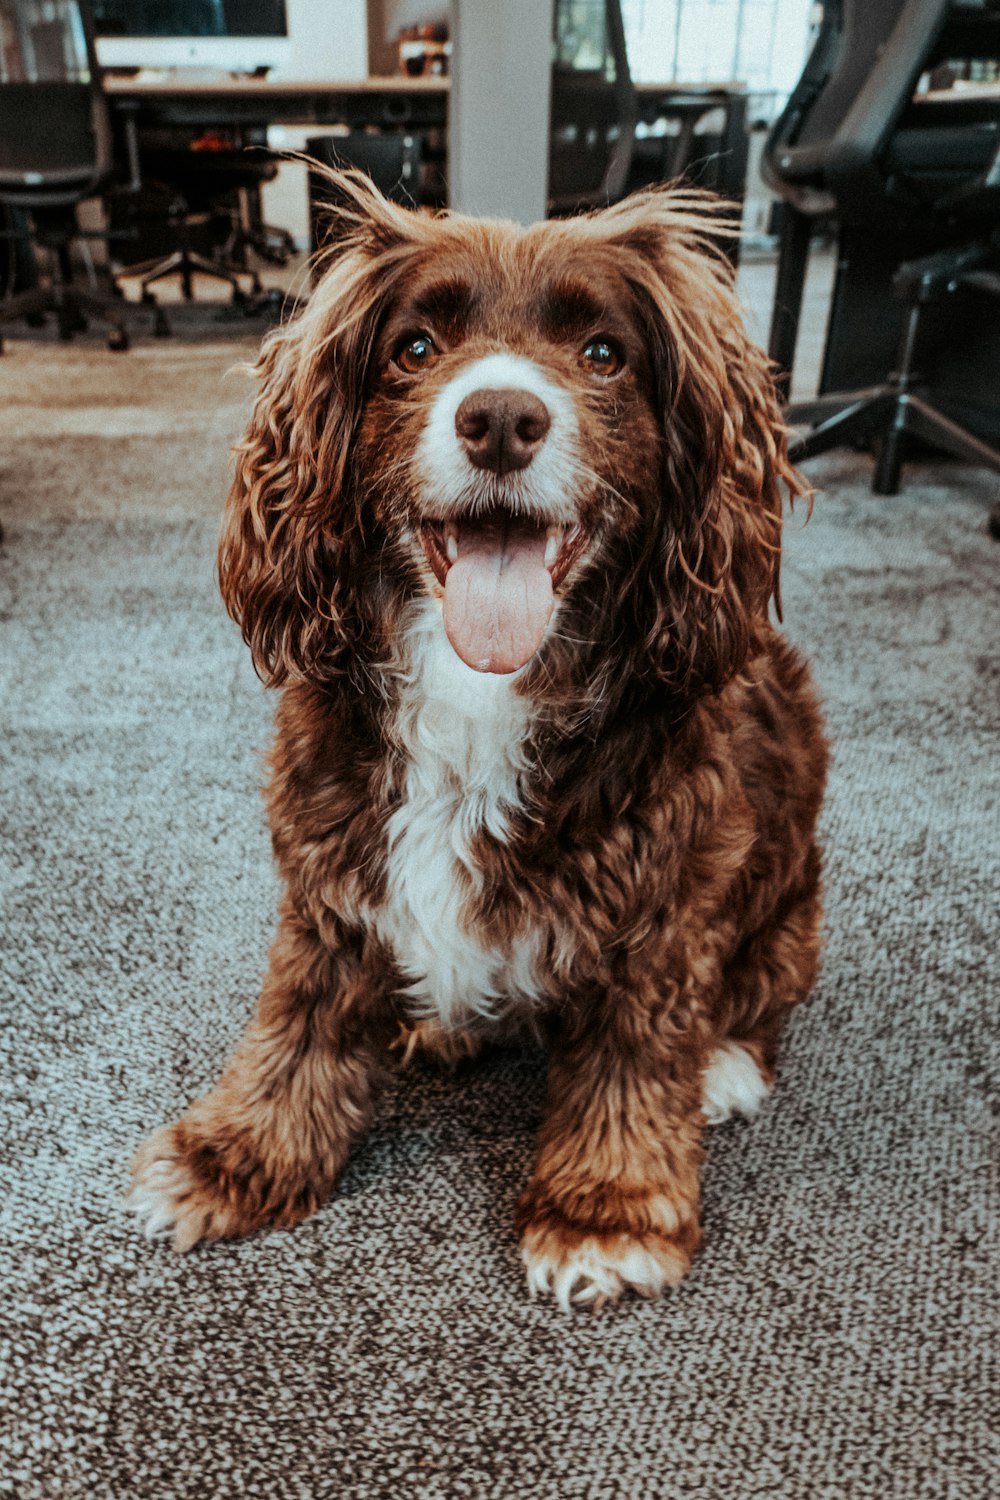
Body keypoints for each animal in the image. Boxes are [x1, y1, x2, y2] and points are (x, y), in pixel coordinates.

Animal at [125, 170, 827, 1308]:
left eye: (603, 353)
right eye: (415, 347)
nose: (501, 416)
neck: (481, 693)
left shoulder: (663, 905)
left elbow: (635, 1056)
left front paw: (604, 1210)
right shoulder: (333, 875)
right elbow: (295, 1024)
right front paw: (234, 1155)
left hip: (791, 905)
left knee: (757, 1000)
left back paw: (723, 1065)